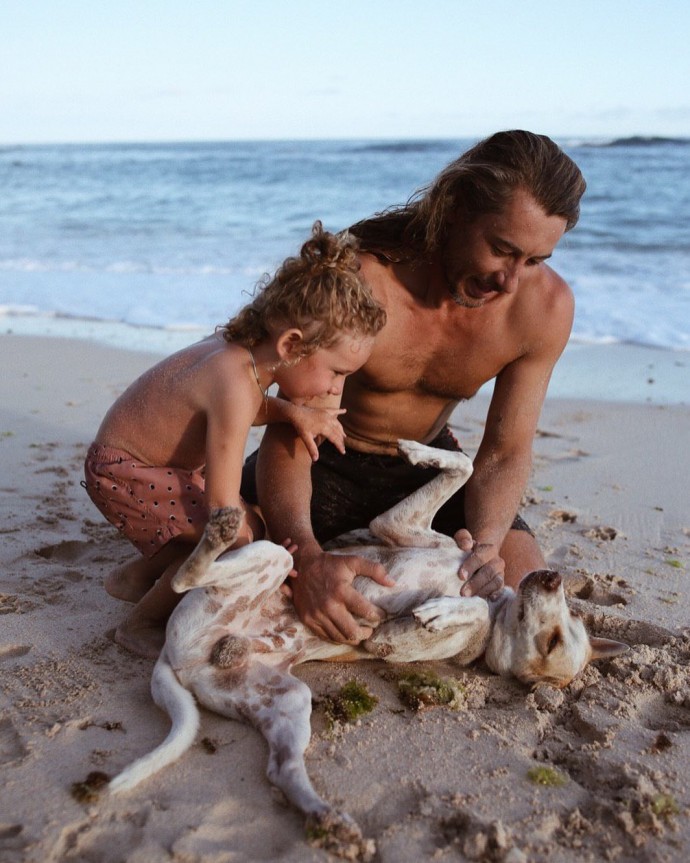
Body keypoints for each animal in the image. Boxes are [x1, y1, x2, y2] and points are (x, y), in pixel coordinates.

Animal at [109, 442, 628, 860]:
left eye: (553, 640)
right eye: (569, 620)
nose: (552, 578)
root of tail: (175, 659)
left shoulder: (392, 639)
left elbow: (469, 612)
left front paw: (448, 610)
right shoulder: (397, 526)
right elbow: (462, 466)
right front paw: (418, 452)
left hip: (284, 683)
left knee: (279, 766)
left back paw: (325, 815)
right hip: (277, 607)